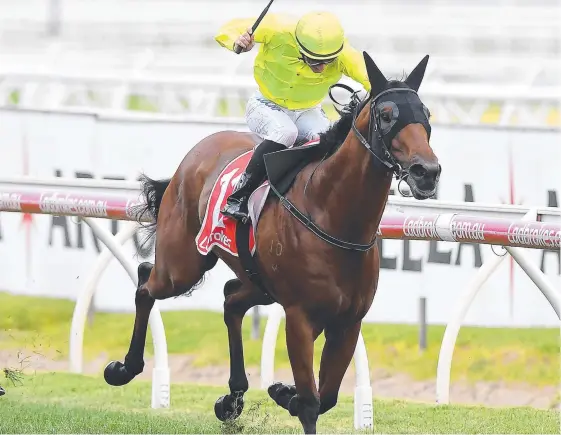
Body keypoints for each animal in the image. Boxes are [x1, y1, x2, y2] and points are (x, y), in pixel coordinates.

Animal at [103, 52, 440, 434]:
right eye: (386, 115)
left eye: (426, 113)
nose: (427, 172)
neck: (333, 216)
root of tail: (196, 152)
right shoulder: (300, 316)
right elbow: (311, 403)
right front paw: (290, 394)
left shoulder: (348, 322)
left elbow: (326, 396)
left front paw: (282, 391)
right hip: (182, 267)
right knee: (146, 281)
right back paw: (124, 368)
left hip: (259, 283)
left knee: (231, 300)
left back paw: (231, 398)